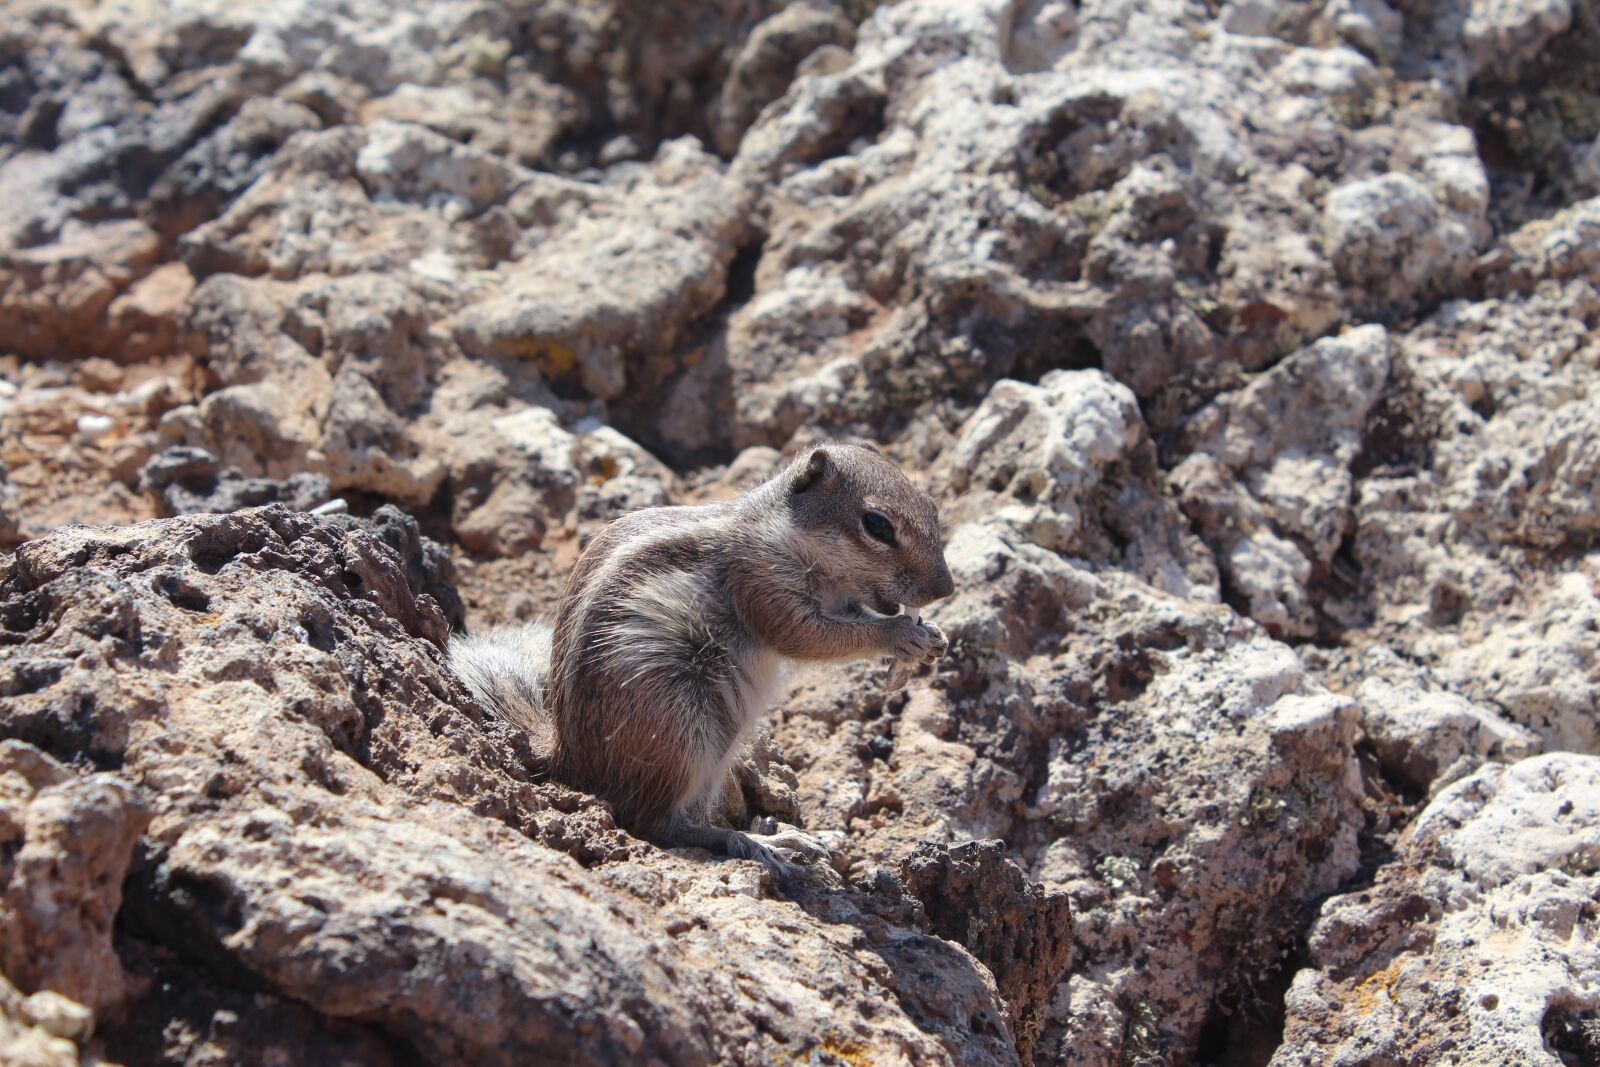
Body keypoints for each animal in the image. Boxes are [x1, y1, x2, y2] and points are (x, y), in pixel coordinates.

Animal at [448, 442, 954, 880]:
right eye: (877, 524)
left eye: (933, 506)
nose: (945, 590)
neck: (785, 532)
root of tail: (568, 760)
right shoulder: (761, 583)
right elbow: (807, 636)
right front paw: (899, 634)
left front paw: (935, 637)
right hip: (680, 732)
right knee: (655, 823)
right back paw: (754, 845)